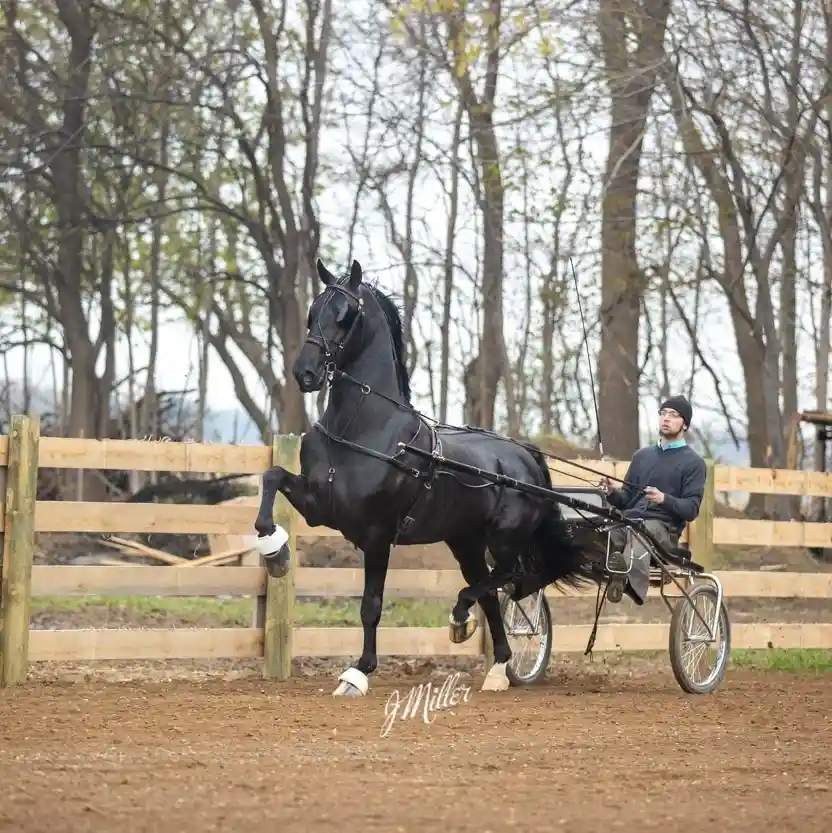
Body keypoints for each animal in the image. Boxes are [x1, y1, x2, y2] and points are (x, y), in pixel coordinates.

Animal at [254, 258, 600, 696]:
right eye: (313, 312)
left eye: (345, 315)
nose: (306, 373)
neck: (363, 430)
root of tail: (525, 454)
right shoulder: (319, 507)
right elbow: (271, 476)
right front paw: (275, 552)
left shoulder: (377, 534)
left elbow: (371, 606)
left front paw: (358, 673)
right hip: (465, 540)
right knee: (490, 589)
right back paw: (496, 665)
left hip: (504, 539)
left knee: (509, 579)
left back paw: (462, 619)